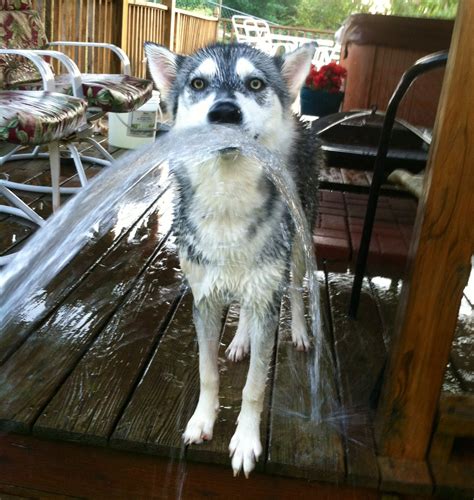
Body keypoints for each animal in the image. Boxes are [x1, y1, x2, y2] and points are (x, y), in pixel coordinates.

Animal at [144, 43, 322, 476]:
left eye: (255, 84)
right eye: (198, 84)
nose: (224, 112)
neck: (228, 207)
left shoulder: (268, 290)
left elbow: (254, 386)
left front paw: (245, 440)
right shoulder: (204, 300)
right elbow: (207, 373)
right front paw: (202, 420)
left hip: (297, 249)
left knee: (295, 291)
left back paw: (299, 331)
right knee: (247, 310)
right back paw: (241, 340)